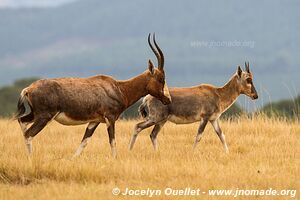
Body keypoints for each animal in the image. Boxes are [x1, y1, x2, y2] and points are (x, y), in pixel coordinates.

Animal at [15, 33, 171, 158]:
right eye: (161, 78)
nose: (168, 99)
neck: (118, 87)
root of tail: (29, 88)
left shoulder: (94, 121)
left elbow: (85, 141)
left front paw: (73, 159)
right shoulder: (110, 119)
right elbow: (112, 141)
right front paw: (115, 159)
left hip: (36, 115)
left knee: (22, 123)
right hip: (44, 116)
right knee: (29, 134)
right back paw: (31, 158)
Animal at [129, 62, 258, 153]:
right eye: (248, 79)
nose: (255, 96)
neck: (217, 93)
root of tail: (147, 98)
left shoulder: (214, 119)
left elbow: (221, 135)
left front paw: (227, 153)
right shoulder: (205, 118)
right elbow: (199, 136)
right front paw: (192, 152)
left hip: (161, 121)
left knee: (153, 135)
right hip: (155, 119)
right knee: (138, 127)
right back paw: (129, 150)